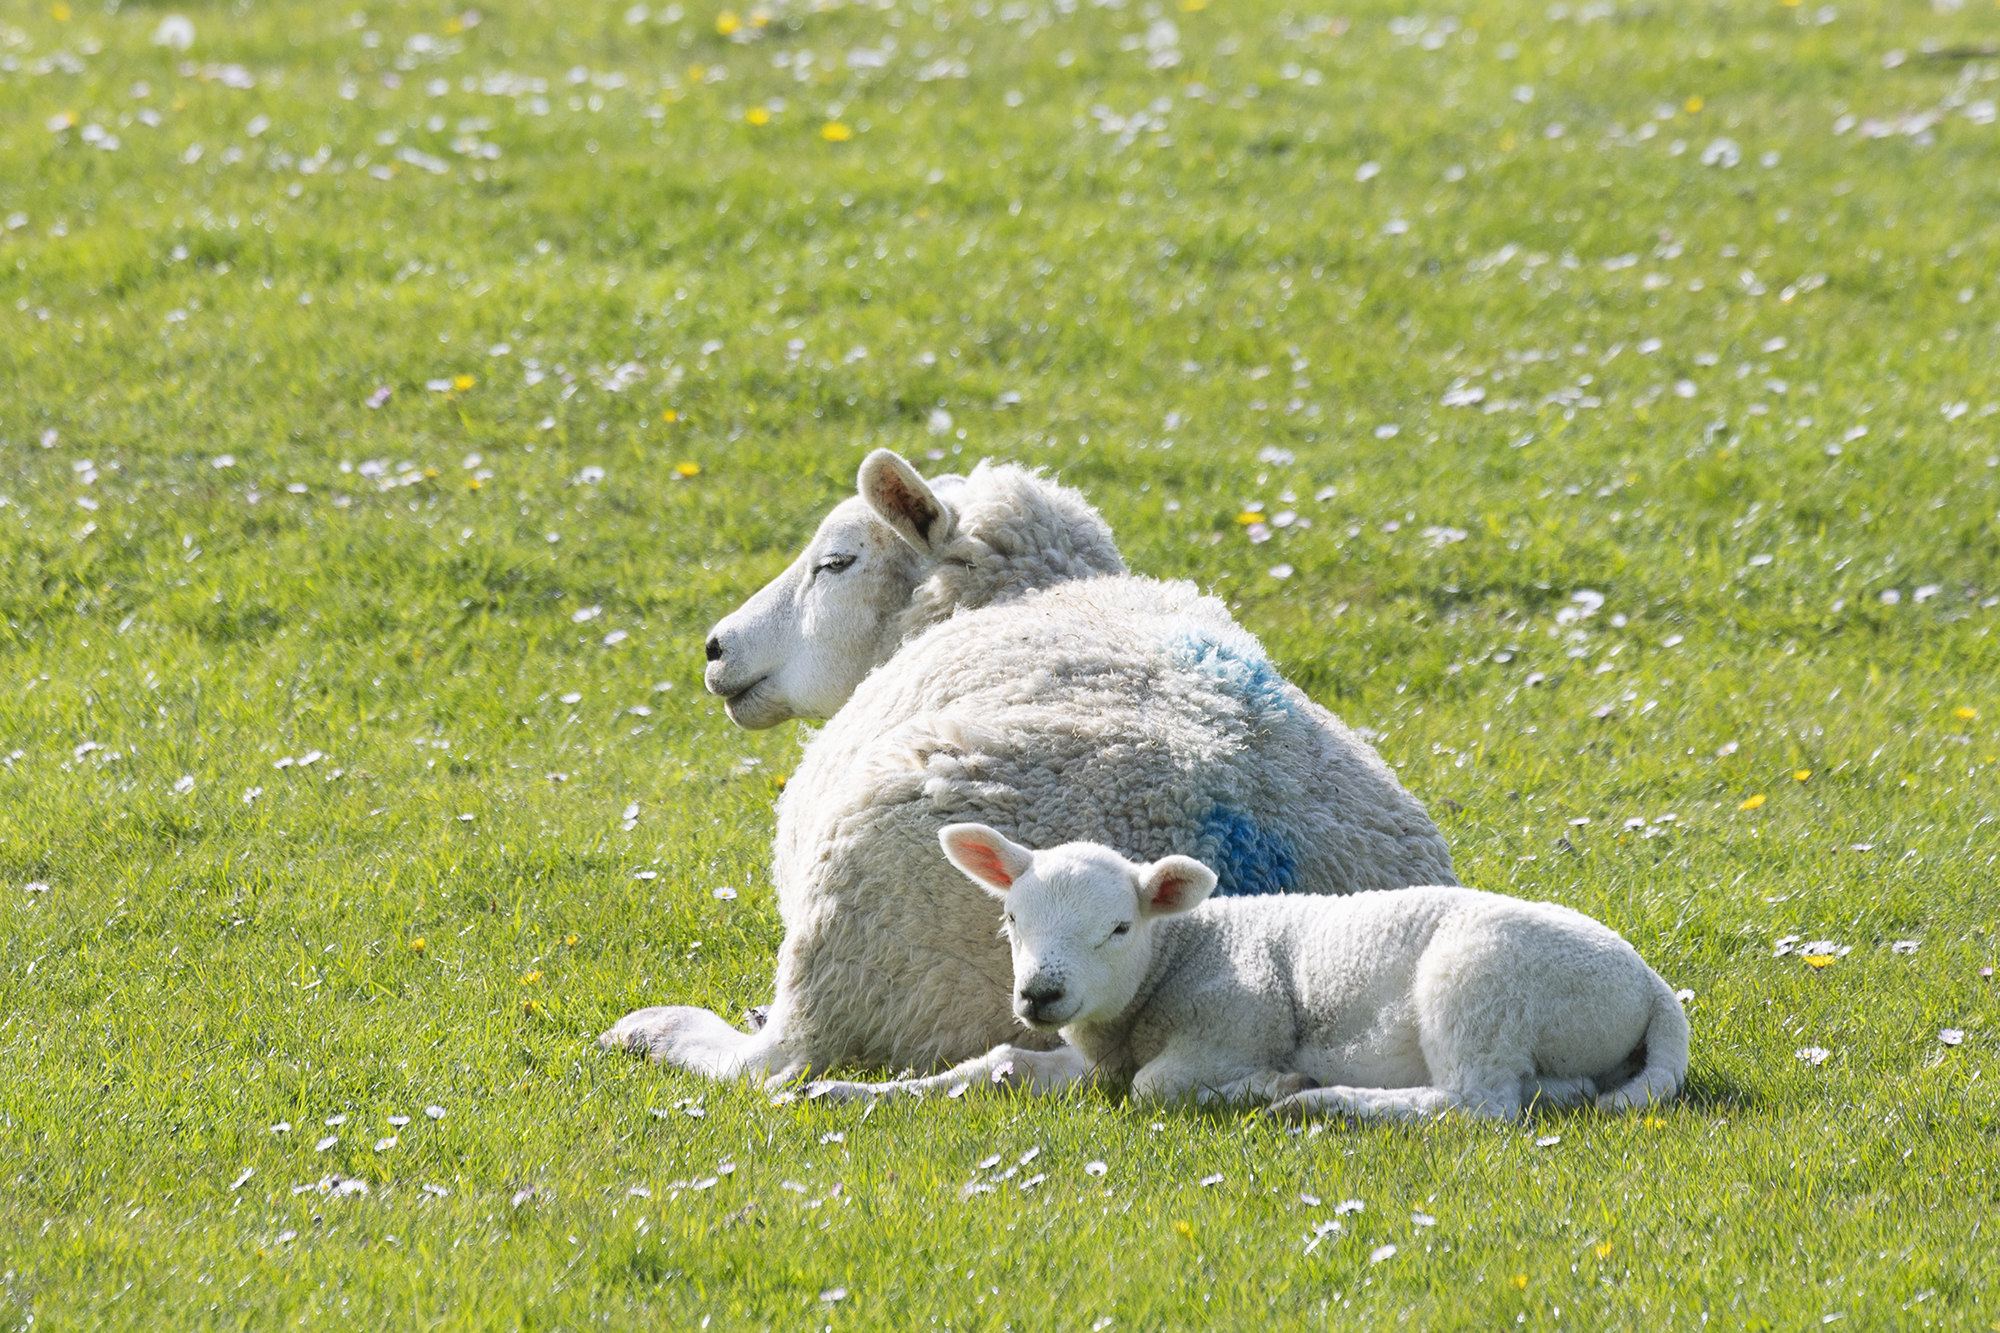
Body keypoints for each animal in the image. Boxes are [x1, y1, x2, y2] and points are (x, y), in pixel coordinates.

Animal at [804, 820, 1680, 1112]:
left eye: (1119, 926)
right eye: (1012, 918)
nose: (1040, 992)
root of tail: (1652, 985)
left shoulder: (1234, 1021)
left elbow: (1155, 1086)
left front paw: (1269, 1082)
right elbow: (997, 1063)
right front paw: (843, 1090)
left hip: (1481, 981)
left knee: (1478, 1105)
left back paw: (1321, 1101)